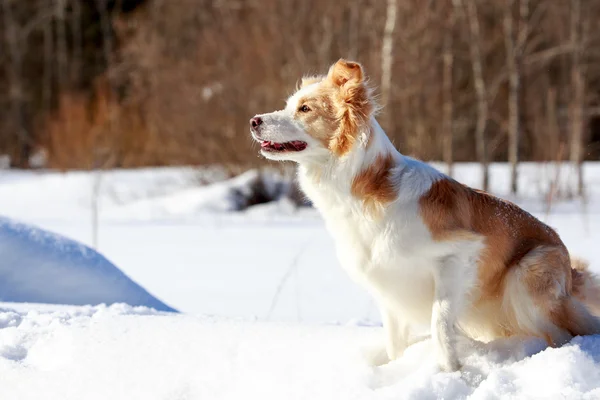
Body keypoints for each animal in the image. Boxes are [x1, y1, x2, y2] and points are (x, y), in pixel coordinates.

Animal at [247, 59, 600, 372]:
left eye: (305, 109)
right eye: (288, 105)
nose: (253, 121)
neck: (363, 187)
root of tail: (570, 267)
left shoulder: (458, 256)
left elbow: (439, 319)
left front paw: (450, 371)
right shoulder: (387, 284)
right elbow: (394, 341)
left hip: (524, 279)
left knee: (563, 333)